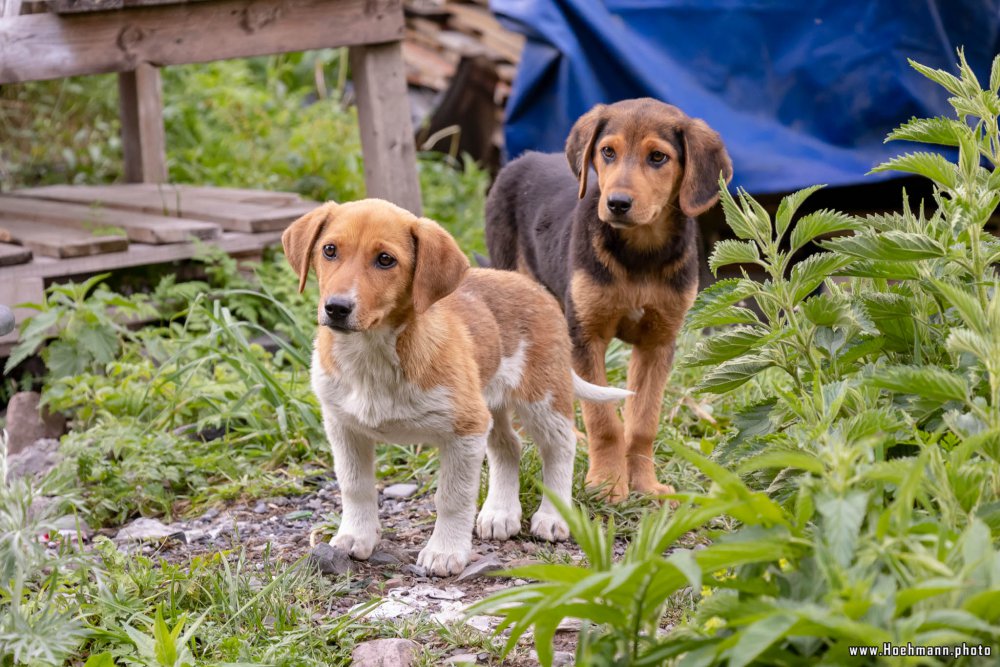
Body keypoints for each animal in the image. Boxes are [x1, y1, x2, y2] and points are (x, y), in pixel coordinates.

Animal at [282, 200, 624, 580]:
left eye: (385, 260)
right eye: (329, 250)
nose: (337, 308)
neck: (373, 355)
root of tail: (533, 286)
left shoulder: (464, 431)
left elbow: (452, 497)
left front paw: (444, 552)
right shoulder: (342, 426)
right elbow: (355, 486)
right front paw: (356, 535)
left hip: (542, 397)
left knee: (561, 447)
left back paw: (552, 517)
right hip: (491, 404)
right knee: (509, 446)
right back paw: (500, 513)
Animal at [486, 95, 736, 500]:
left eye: (658, 157)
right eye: (607, 152)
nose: (617, 203)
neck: (640, 254)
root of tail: (522, 158)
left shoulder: (658, 341)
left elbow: (643, 421)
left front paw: (645, 485)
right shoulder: (587, 335)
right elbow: (604, 421)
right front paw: (606, 484)